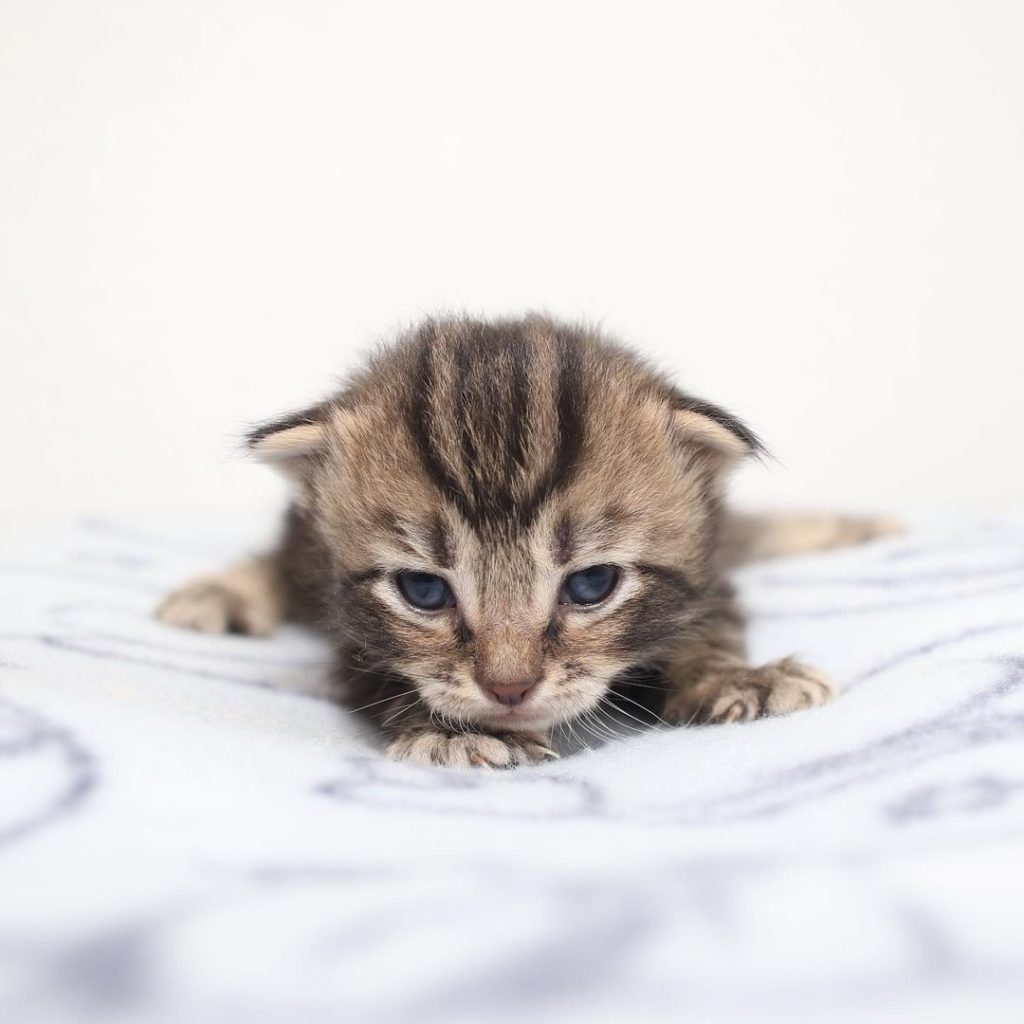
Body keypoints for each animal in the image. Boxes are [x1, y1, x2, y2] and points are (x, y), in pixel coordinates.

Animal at [153, 315, 897, 765]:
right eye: (422, 590)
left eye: (592, 584)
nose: (508, 688)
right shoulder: (351, 634)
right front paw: (461, 732)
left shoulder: (707, 575)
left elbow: (707, 622)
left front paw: (733, 677)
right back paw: (221, 592)